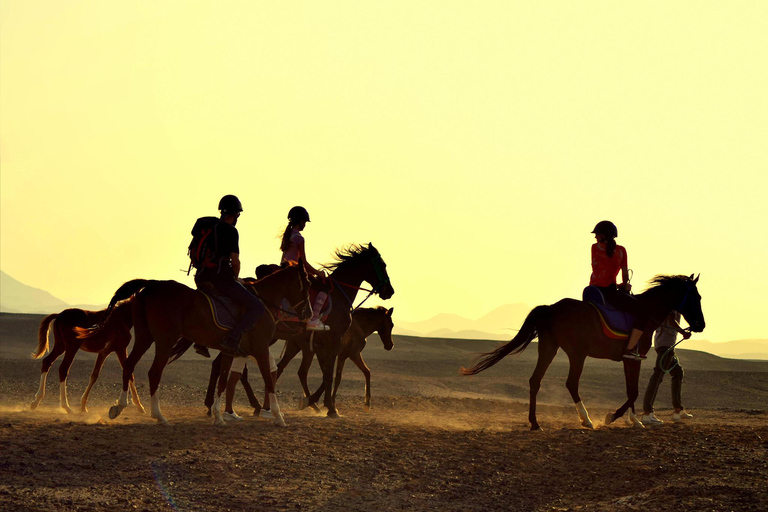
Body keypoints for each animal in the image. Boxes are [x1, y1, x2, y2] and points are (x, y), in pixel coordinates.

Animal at [75, 262, 308, 426]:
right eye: (307, 284)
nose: (308, 313)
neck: (263, 302)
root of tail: (151, 284)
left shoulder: (231, 351)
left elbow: (223, 380)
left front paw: (218, 416)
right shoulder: (260, 349)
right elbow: (269, 380)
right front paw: (278, 417)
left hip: (145, 337)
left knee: (129, 365)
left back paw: (119, 407)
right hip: (165, 340)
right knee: (154, 372)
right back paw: (159, 415)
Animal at [460, 274, 704, 430]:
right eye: (697, 298)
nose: (701, 325)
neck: (646, 311)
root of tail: (551, 308)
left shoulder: (629, 360)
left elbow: (631, 390)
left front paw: (635, 420)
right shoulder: (634, 358)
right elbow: (633, 392)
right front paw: (612, 417)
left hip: (548, 347)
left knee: (535, 380)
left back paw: (535, 423)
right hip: (577, 354)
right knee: (571, 383)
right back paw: (586, 420)